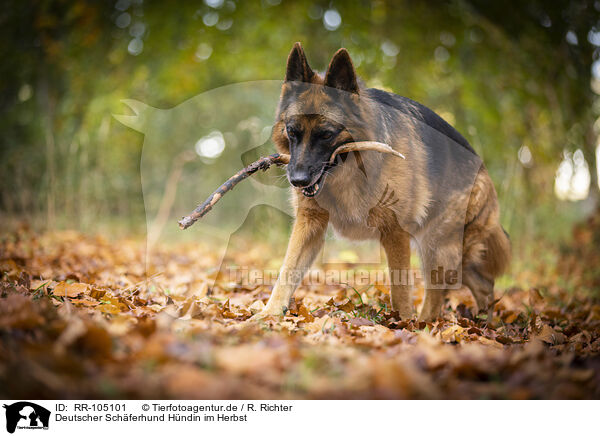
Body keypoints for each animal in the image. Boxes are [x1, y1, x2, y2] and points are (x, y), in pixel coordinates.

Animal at [255, 44, 508, 322]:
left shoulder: (395, 232)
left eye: (326, 134)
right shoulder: (309, 224)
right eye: (292, 132)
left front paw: (403, 322)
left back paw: (423, 324)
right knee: (482, 284)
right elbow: (287, 270)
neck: (350, 172)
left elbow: (400, 288)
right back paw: (487, 323)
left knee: (438, 295)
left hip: (438, 248)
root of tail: (482, 167)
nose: (298, 180)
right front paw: (269, 314)